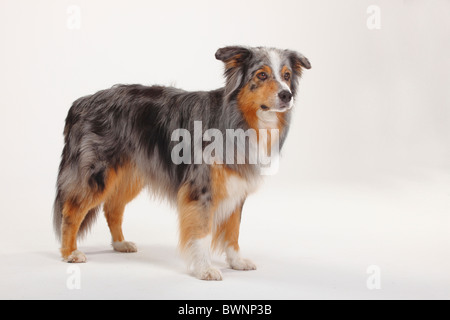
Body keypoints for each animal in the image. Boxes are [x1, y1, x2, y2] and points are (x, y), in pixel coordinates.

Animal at [53, 45, 310, 280]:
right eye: (262, 75)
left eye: (287, 76)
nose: (287, 95)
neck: (239, 119)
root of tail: (81, 102)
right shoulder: (201, 188)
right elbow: (202, 232)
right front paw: (205, 268)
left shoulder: (236, 187)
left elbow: (234, 229)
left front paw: (236, 261)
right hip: (97, 173)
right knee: (71, 210)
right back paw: (69, 253)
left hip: (130, 175)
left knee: (112, 208)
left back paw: (120, 244)